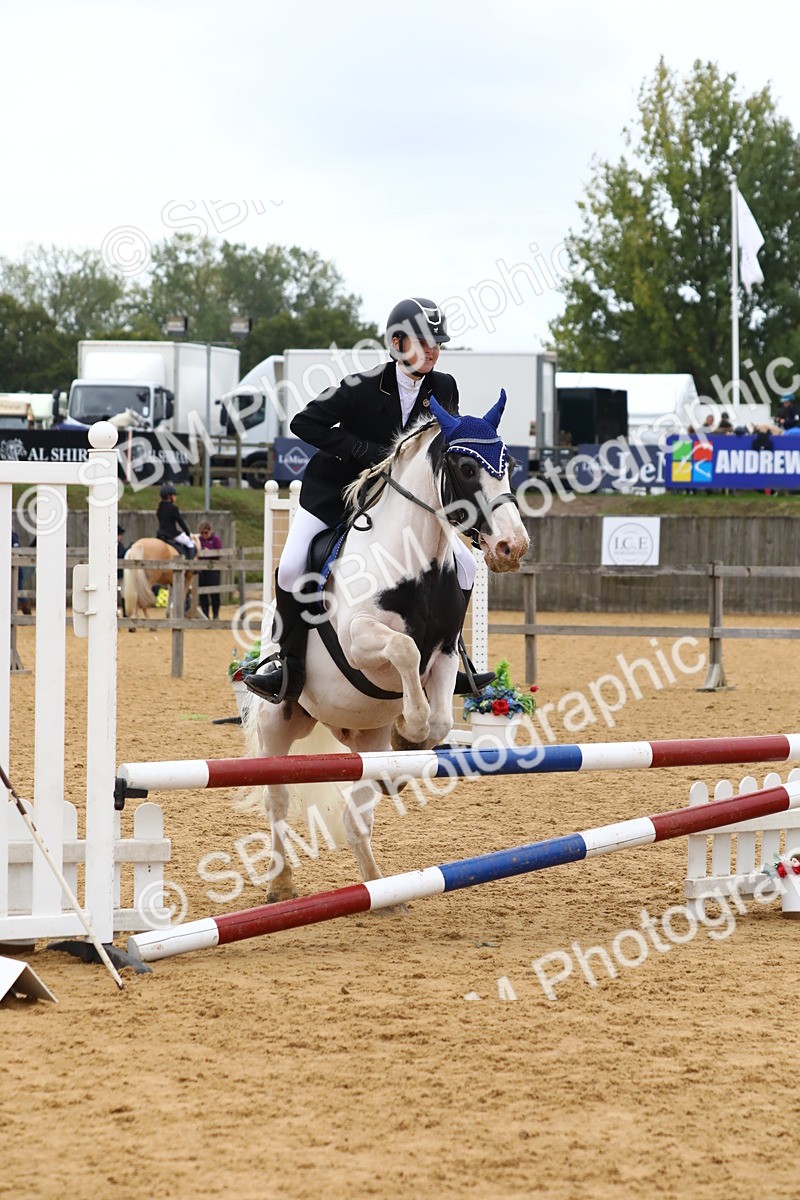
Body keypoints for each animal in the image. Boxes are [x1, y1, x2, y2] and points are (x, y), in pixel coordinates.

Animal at [243, 391, 530, 902]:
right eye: (465, 467)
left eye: (508, 464)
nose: (511, 547)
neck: (416, 562)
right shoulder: (360, 639)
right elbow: (404, 652)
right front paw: (409, 731)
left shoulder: (445, 655)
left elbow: (440, 720)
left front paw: (408, 745)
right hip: (280, 721)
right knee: (276, 799)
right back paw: (281, 884)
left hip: (365, 739)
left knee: (358, 812)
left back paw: (380, 891)